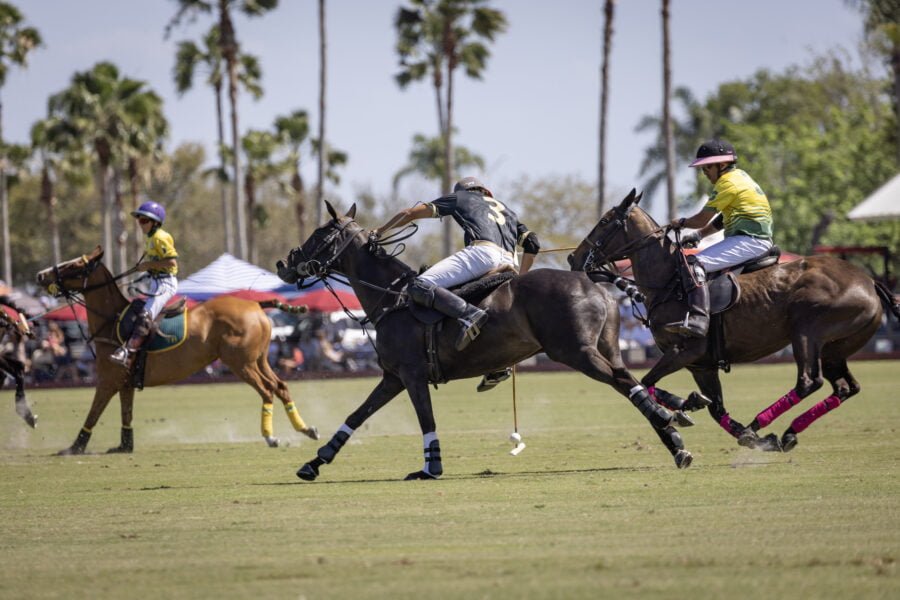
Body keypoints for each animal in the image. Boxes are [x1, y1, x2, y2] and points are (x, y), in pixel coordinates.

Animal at [35, 247, 320, 454]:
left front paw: (74, 447)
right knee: (280, 386)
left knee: (267, 390)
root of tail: (256, 305)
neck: (111, 319)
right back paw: (306, 429)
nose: (40, 275)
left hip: (241, 363)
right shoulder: (125, 383)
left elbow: (93, 413)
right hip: (259, 359)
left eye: (74, 265)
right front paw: (124, 446)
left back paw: (271, 437)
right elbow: (127, 414)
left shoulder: (108, 380)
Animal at [278, 202, 692, 482]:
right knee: (632, 379)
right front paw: (314, 462)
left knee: (625, 383)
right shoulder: (392, 377)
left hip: (576, 352)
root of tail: (597, 284)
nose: (285, 264)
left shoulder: (412, 375)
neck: (391, 297)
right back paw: (676, 440)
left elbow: (425, 418)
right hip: (605, 349)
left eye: (320, 235)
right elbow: (356, 415)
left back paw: (670, 421)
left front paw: (431, 467)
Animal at [572, 190, 896, 452]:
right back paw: (786, 432)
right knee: (845, 387)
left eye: (605, 220)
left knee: (809, 381)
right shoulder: (701, 364)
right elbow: (715, 407)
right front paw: (695, 408)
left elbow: (648, 380)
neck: (669, 281)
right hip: (835, 348)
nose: (574, 259)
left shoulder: (686, 350)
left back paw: (759, 423)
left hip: (807, 332)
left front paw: (684, 408)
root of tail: (870, 282)